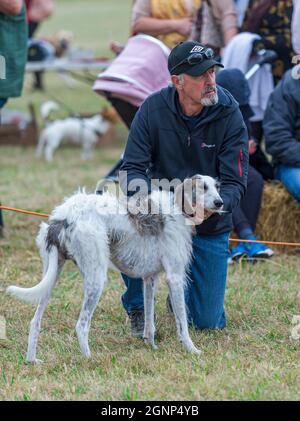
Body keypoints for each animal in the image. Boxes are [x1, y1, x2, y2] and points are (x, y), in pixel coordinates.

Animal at [6, 174, 225, 360]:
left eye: (217, 186)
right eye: (203, 187)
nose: (220, 203)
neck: (177, 208)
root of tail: (63, 216)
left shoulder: (149, 279)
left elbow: (149, 321)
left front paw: (151, 346)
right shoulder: (175, 278)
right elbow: (182, 321)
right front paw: (192, 349)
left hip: (51, 276)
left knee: (35, 322)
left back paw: (32, 360)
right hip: (95, 278)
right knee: (81, 325)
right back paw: (89, 360)